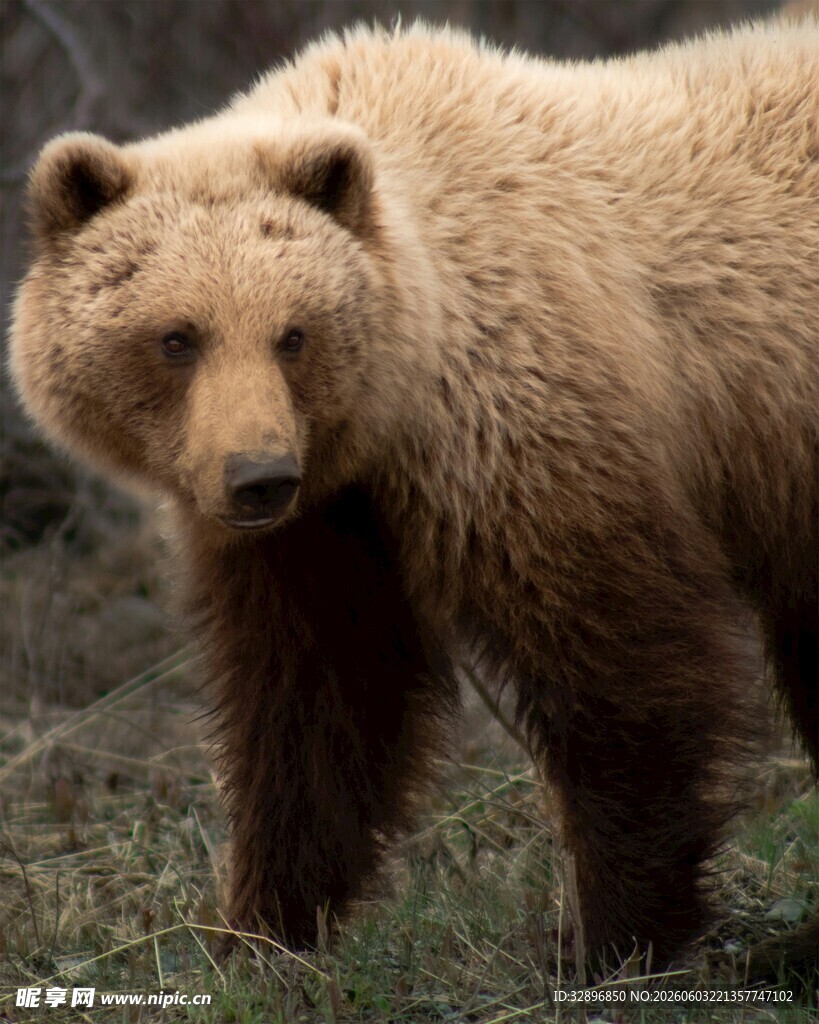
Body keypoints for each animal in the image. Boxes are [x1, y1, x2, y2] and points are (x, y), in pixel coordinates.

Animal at [10, 19, 818, 980]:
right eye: (177, 337)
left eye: (292, 333)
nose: (256, 476)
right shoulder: (323, 527)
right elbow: (317, 706)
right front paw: (259, 929)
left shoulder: (528, 441)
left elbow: (626, 675)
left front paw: (610, 935)